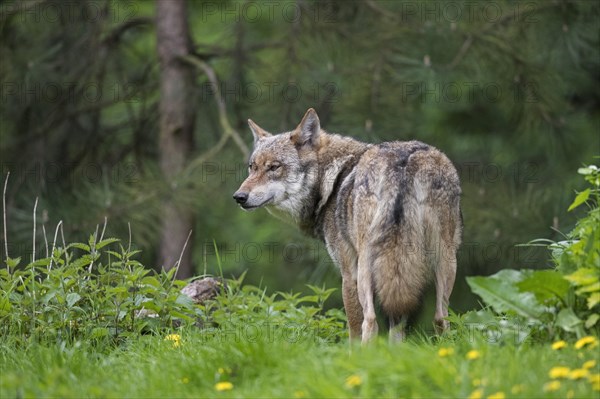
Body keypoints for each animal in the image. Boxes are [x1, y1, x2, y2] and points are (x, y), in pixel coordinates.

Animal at [232, 109, 462, 344]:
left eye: (274, 167)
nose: (239, 197)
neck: (330, 180)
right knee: (439, 319)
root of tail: (404, 162)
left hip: (366, 267)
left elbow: (353, 329)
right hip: (444, 261)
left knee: (370, 321)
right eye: (252, 167)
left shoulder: (348, 273)